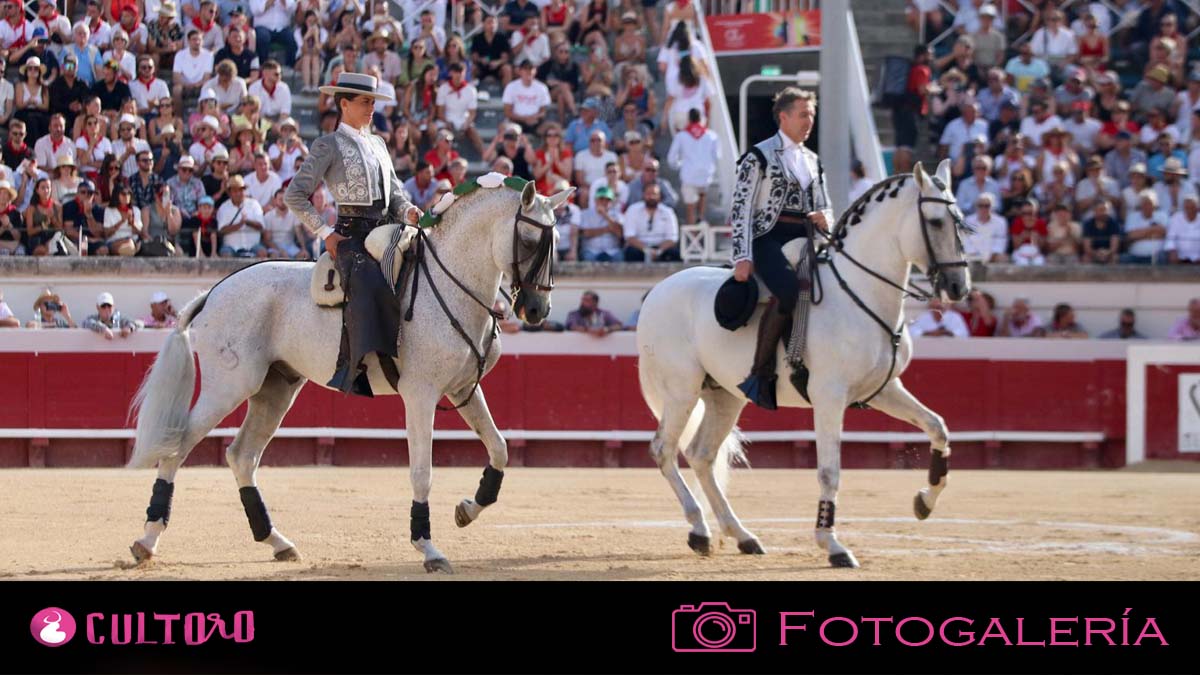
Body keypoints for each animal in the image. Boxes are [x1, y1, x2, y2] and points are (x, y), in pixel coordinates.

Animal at [126, 176, 571, 569]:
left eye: (555, 245)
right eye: (528, 241)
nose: (537, 310)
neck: (451, 284)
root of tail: (214, 291)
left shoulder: (463, 389)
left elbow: (500, 447)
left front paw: (466, 510)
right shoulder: (421, 394)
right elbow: (422, 472)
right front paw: (428, 549)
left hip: (276, 388)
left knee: (242, 456)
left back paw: (277, 541)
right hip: (229, 385)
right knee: (178, 445)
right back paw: (147, 539)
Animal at [638, 159, 964, 564]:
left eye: (960, 220)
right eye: (934, 221)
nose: (959, 285)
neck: (860, 292)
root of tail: (657, 291)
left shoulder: (885, 389)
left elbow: (938, 426)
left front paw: (924, 502)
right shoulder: (829, 396)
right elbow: (829, 471)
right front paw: (833, 545)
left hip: (723, 395)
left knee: (702, 455)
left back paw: (742, 535)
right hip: (680, 391)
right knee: (664, 450)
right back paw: (699, 529)